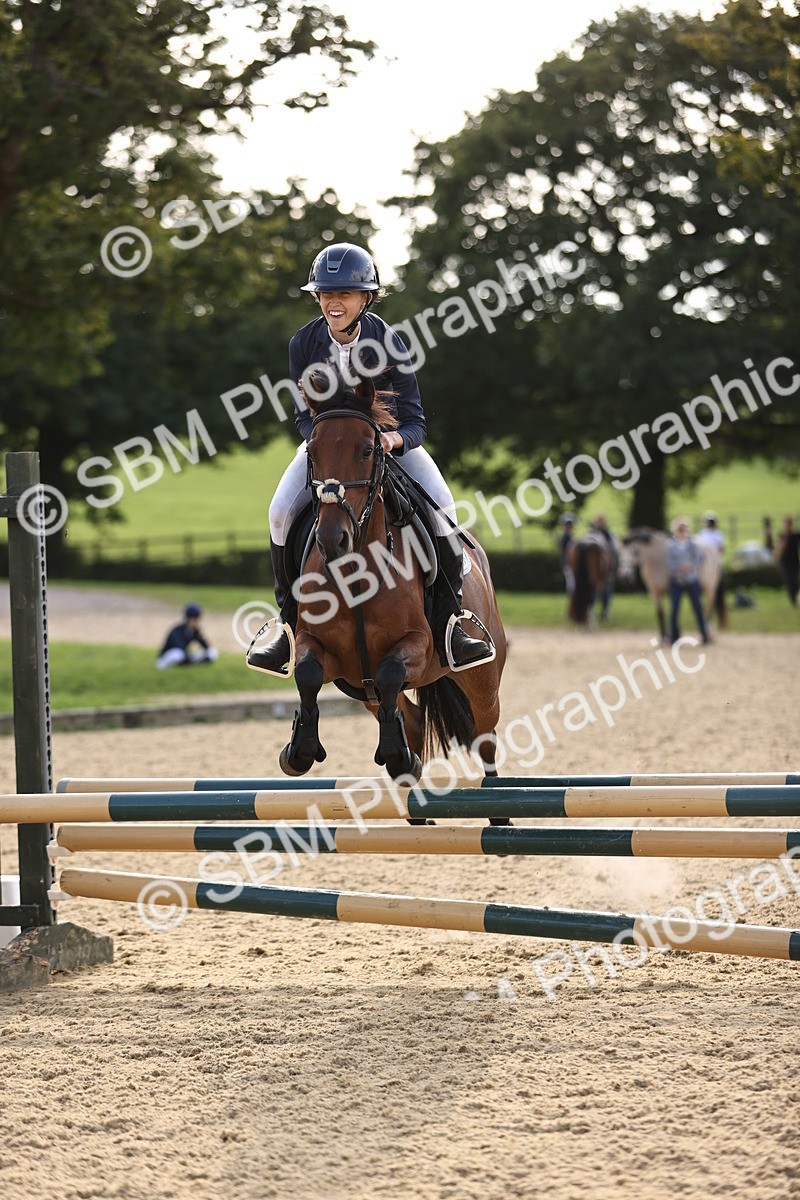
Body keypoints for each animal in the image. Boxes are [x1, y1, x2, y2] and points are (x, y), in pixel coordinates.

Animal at [277, 371, 507, 792]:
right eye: (311, 453)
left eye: (368, 450)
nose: (332, 540)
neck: (356, 572)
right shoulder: (319, 647)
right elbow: (307, 673)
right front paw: (299, 751)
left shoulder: (417, 643)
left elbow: (390, 673)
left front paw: (394, 753)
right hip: (363, 688)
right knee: (410, 720)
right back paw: (405, 766)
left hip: (482, 680)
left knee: (485, 738)